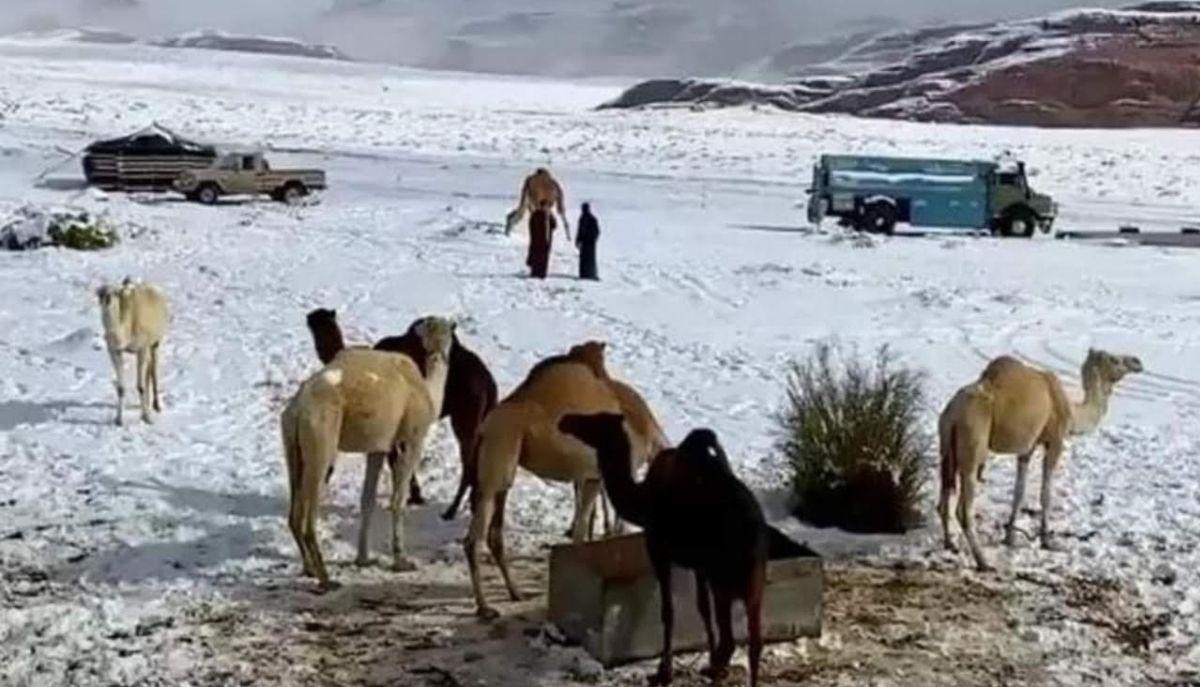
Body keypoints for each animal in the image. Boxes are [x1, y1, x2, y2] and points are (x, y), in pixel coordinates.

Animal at [309, 307, 501, 514]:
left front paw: (414, 496)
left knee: (469, 462)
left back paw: (452, 510)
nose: (312, 317)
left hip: (465, 420)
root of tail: (489, 384)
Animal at [460, 341, 667, 619]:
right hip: (499, 458)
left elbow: (582, 530)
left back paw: (515, 593)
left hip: (500, 469)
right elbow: (599, 527)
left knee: (494, 534)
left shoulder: (592, 476)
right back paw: (485, 608)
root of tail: (484, 429)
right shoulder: (608, 474)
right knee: (474, 539)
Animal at [554, 413, 763, 687]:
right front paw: (705, 661)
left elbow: (668, 611)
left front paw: (665, 672)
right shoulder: (697, 565)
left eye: (596, 421)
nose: (565, 419)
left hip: (725, 577)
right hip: (753, 579)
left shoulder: (659, 551)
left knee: (731, 641)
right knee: (755, 641)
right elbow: (702, 609)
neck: (641, 501)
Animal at [936, 348, 1142, 569]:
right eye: (1115, 360)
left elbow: (1019, 491)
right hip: (973, 441)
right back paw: (983, 561)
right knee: (964, 507)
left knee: (945, 493)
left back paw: (949, 544)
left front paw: (1010, 538)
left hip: (946, 444)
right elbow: (1046, 493)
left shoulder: (1028, 446)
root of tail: (953, 413)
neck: (1072, 411)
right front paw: (1047, 541)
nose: (1137, 362)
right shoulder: (1056, 440)